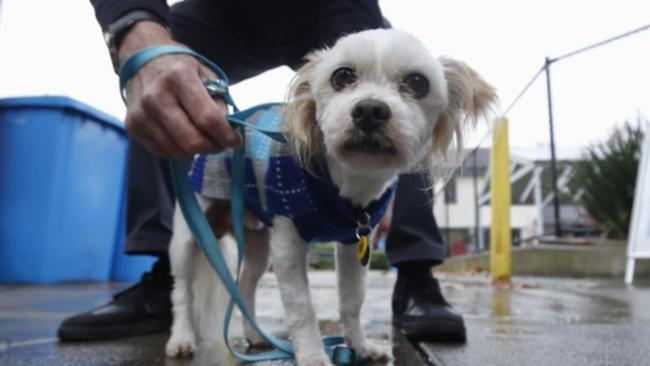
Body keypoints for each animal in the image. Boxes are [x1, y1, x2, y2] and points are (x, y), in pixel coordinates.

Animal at [165, 29, 494, 366]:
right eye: (343, 76)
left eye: (418, 83)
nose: (370, 110)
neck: (349, 183)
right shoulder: (288, 242)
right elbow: (301, 307)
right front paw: (312, 354)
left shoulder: (354, 243)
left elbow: (352, 301)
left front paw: (359, 346)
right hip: (189, 234)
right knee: (182, 292)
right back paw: (182, 339)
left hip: (258, 246)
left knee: (245, 287)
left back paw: (256, 336)